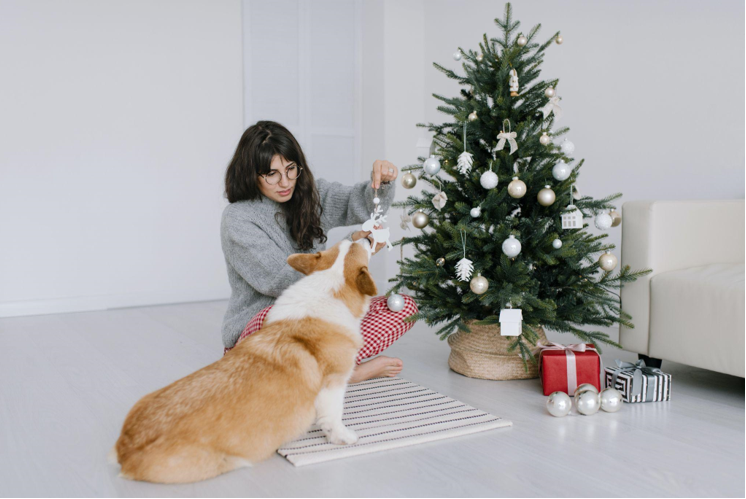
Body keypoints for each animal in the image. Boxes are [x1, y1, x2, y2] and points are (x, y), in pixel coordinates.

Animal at [110, 240, 374, 482]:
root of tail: (126, 452)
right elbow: (334, 417)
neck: (328, 285)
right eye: (356, 246)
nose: (366, 237)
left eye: (344, 243)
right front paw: (344, 437)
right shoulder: (334, 383)